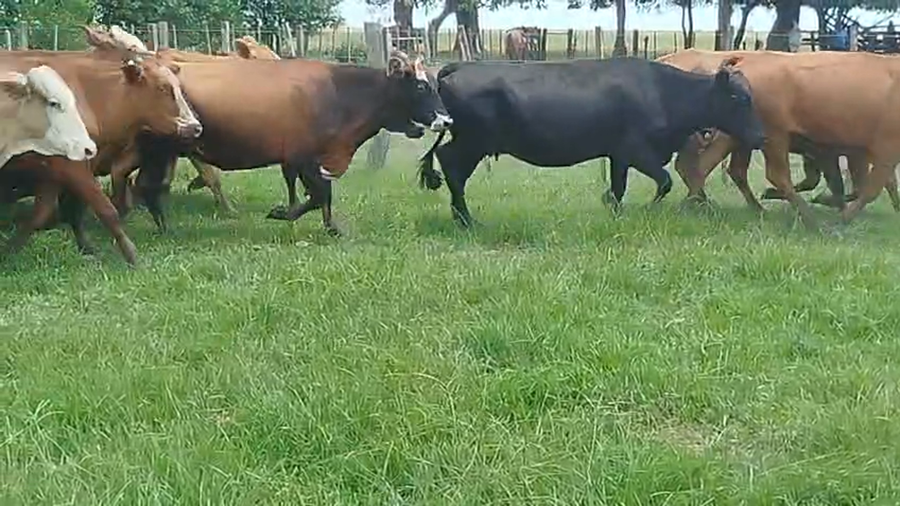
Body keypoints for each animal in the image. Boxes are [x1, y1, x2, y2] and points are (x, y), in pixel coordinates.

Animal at [0, 47, 202, 265]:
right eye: (163, 88)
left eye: (178, 88)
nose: (196, 127)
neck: (90, 97)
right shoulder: (72, 167)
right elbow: (106, 210)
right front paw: (131, 256)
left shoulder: (54, 172)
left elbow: (46, 214)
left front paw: (11, 250)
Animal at [123, 50, 451, 237]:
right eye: (420, 86)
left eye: (436, 85)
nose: (446, 120)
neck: (340, 92)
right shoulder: (304, 157)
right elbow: (318, 195)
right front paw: (283, 213)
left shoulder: (305, 161)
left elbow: (322, 195)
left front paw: (331, 228)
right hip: (159, 151)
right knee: (147, 187)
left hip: (161, 154)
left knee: (148, 187)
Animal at [414, 57, 766, 227]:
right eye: (737, 98)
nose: (761, 136)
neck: (663, 91)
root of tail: (457, 66)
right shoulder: (637, 150)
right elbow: (664, 181)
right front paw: (646, 209)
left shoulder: (618, 155)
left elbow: (619, 187)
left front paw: (612, 209)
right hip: (473, 142)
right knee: (451, 166)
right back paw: (466, 220)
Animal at [660, 49, 900, 227]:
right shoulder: (880, 150)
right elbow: (870, 187)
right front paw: (842, 216)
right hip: (773, 137)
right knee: (775, 175)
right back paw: (807, 219)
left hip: (737, 138)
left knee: (710, 167)